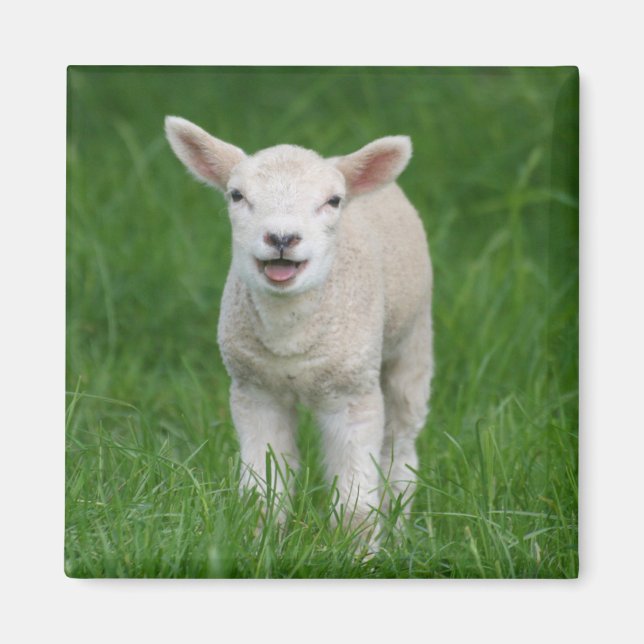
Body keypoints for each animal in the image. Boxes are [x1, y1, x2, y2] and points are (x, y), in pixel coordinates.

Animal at [165, 116, 433, 537]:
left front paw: (356, 550)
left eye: (333, 201)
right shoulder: (256, 391)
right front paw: (259, 541)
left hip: (413, 340)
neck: (288, 337)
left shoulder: (353, 396)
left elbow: (356, 506)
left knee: (401, 447)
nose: (281, 238)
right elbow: (263, 493)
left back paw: (400, 527)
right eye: (236, 195)